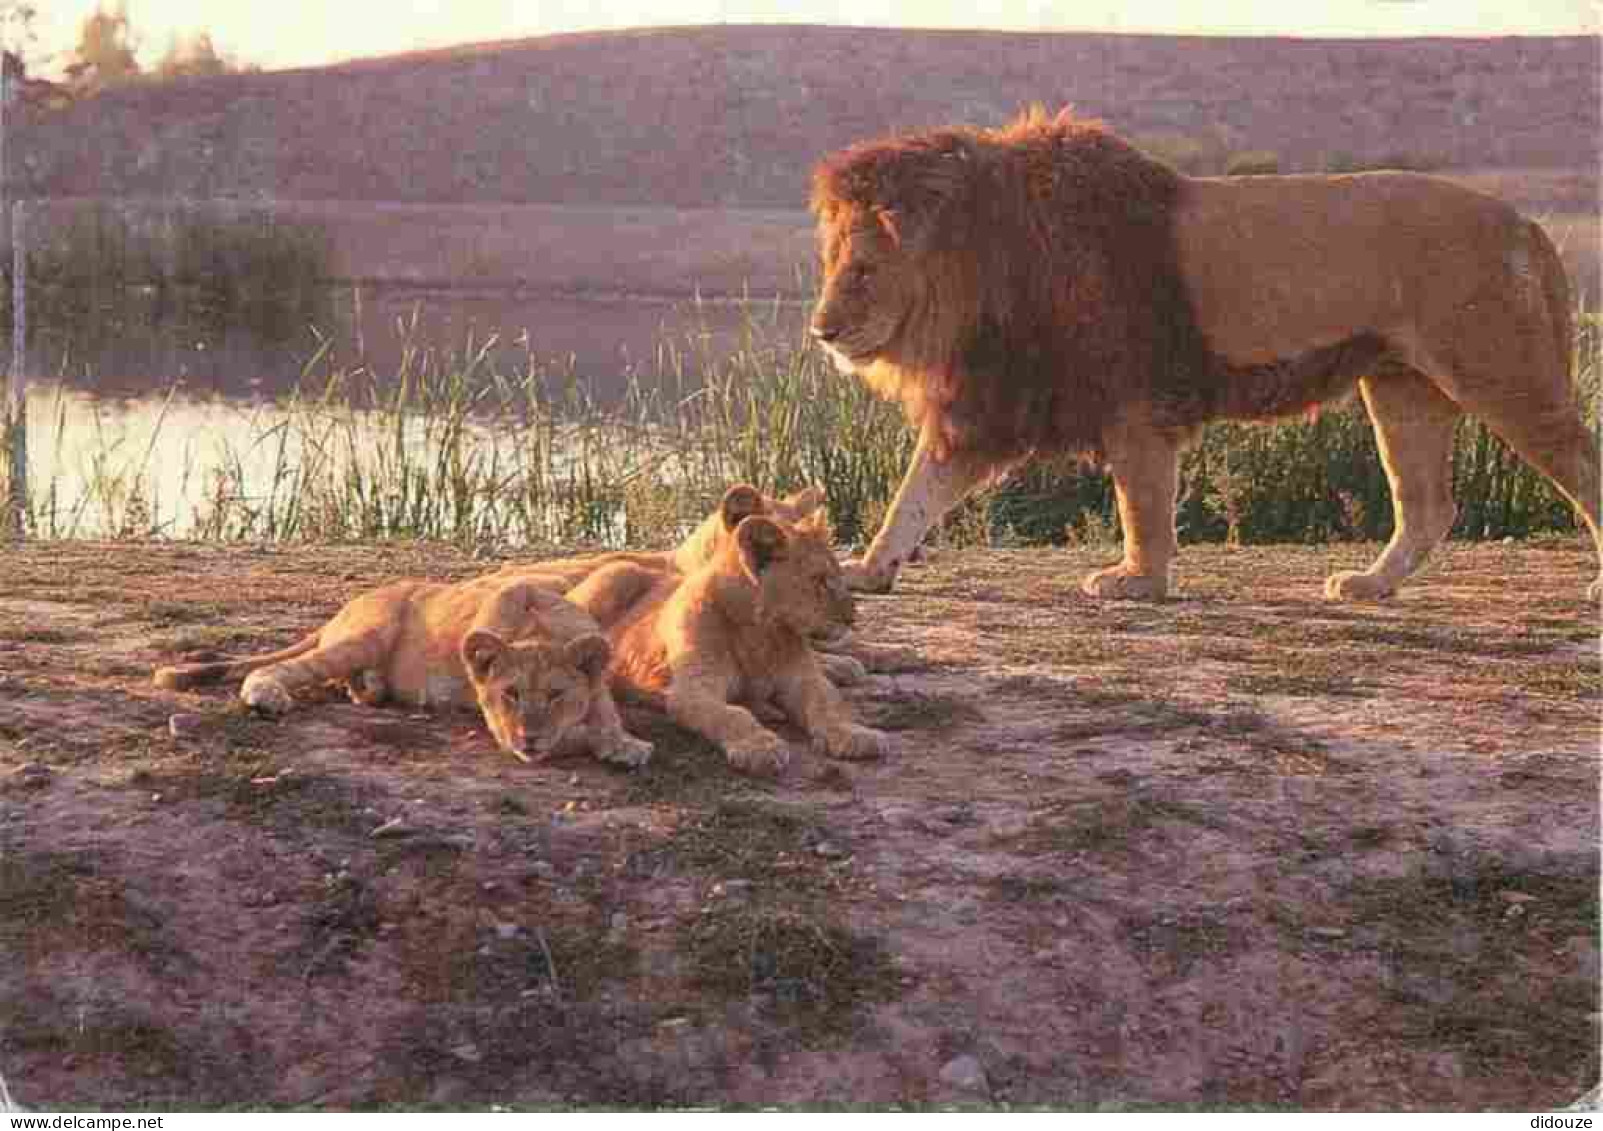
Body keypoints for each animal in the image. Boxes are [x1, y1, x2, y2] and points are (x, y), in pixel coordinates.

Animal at [814, 108, 1603, 599]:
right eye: (830, 262)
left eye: (863, 270)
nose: (821, 330)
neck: (987, 263)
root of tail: (1525, 222)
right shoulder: (990, 404)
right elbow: (913, 494)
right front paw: (867, 570)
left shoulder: (1131, 401)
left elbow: (1142, 502)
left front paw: (1136, 582)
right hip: (1401, 385)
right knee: (1427, 505)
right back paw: (1368, 585)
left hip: (1500, 372)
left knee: (1578, 464)